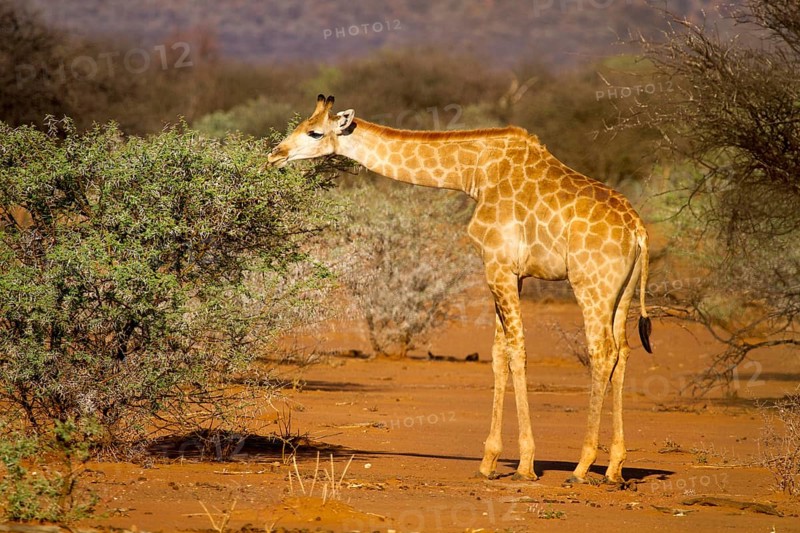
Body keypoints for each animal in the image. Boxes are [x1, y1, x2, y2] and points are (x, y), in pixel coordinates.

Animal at [267, 94, 653, 484]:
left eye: (314, 132)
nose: (274, 155)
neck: (476, 174)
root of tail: (638, 232)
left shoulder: (498, 265)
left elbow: (517, 350)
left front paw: (526, 464)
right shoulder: (514, 274)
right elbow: (499, 354)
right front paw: (489, 460)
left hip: (591, 285)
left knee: (602, 352)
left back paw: (582, 466)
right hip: (620, 293)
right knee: (622, 351)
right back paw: (615, 468)